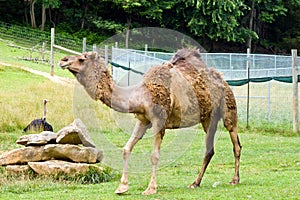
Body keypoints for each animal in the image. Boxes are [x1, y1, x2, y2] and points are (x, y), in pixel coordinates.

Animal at [58, 48, 241, 195]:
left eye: (82, 59)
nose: (63, 60)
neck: (141, 96)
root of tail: (222, 79)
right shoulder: (143, 121)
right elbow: (126, 149)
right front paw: (122, 187)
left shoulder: (159, 120)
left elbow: (154, 155)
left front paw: (150, 188)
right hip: (207, 117)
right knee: (210, 149)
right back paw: (195, 183)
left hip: (228, 108)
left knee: (235, 143)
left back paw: (234, 180)